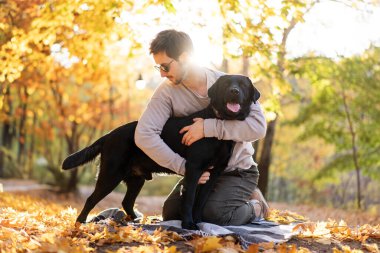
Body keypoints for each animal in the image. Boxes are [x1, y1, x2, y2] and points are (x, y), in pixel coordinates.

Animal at [61, 74, 262, 229]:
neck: (220, 121)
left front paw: (199, 221)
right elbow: (189, 199)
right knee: (91, 199)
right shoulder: (194, 169)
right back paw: (80, 224)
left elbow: (201, 202)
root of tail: (109, 134)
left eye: (243, 85)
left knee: (127, 201)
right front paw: (188, 224)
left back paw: (135, 220)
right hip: (111, 174)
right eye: (226, 84)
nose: (234, 91)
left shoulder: (213, 174)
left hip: (136, 179)